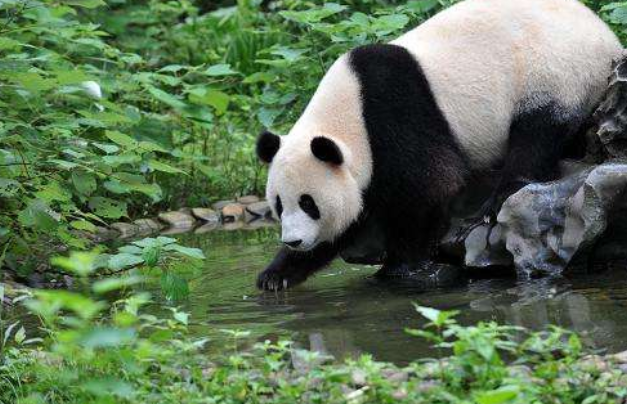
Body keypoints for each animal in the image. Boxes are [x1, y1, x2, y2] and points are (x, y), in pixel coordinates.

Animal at [255, 0, 624, 290]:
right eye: (278, 205)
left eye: (309, 203)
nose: (294, 240)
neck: (349, 114)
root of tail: (606, 34)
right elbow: (353, 217)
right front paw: (276, 275)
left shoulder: (395, 115)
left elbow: (427, 186)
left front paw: (401, 265)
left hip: (553, 72)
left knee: (536, 136)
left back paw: (494, 204)